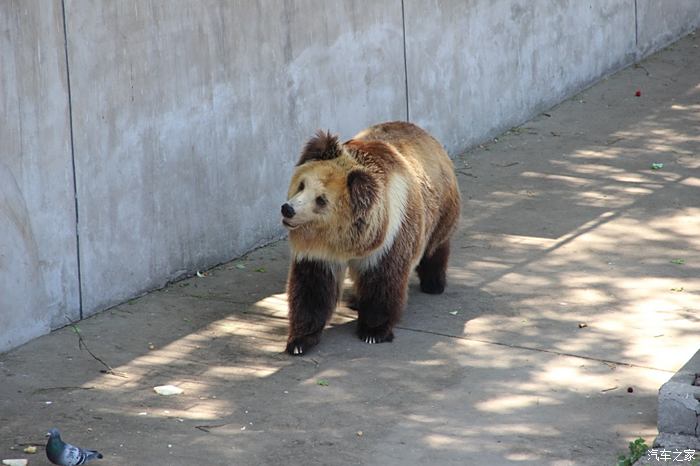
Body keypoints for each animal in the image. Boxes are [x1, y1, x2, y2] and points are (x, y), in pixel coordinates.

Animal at [278, 122, 460, 354]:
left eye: (321, 200)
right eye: (302, 185)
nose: (288, 209)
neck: (347, 241)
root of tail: (425, 133)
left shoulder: (391, 237)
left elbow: (383, 281)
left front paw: (373, 331)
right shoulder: (318, 252)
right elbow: (312, 288)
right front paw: (299, 341)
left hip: (440, 208)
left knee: (436, 246)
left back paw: (434, 283)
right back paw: (355, 300)